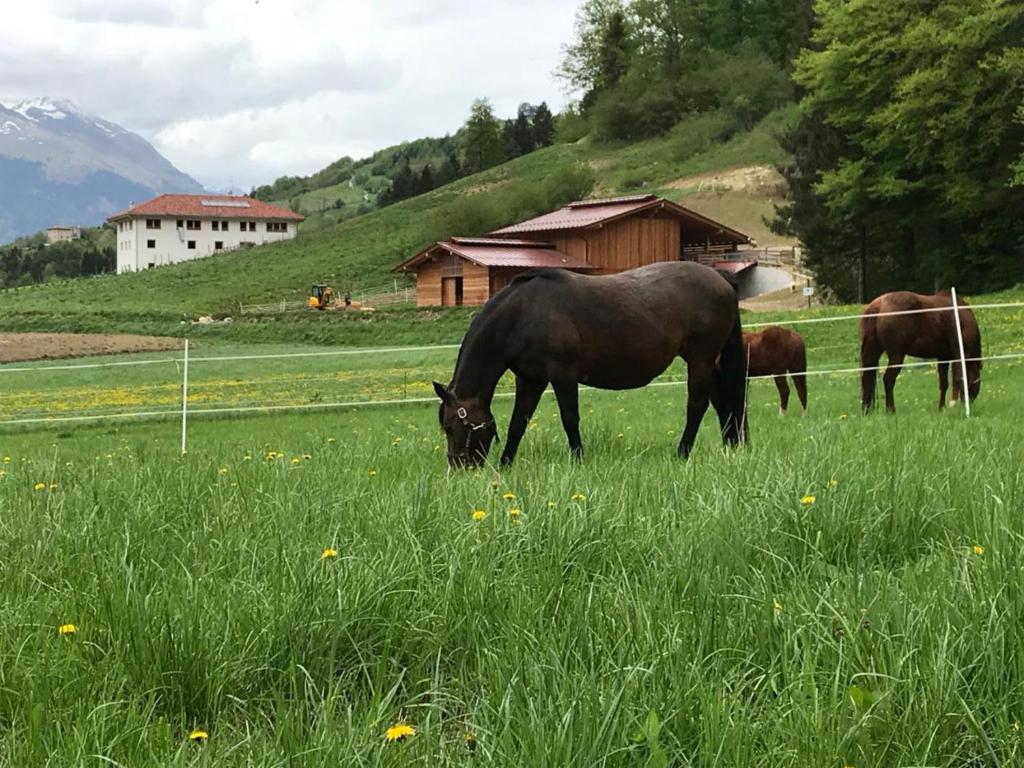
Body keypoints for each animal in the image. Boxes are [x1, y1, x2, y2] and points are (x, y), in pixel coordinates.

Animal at [428, 262, 749, 468]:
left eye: (451, 426)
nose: (459, 468)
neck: (523, 314)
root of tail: (721, 278)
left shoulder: (563, 374)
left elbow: (570, 418)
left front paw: (578, 459)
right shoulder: (530, 379)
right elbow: (518, 422)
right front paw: (507, 464)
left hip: (700, 358)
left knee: (698, 405)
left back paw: (682, 453)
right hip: (709, 360)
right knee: (724, 401)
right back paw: (731, 446)